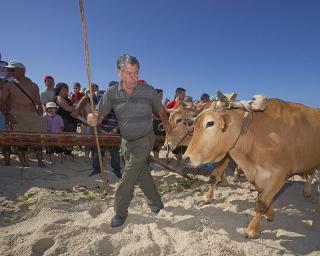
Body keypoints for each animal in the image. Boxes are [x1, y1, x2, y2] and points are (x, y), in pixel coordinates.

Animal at [182, 97, 320, 238]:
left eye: (210, 123)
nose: (185, 158)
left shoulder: (281, 173)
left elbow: (261, 202)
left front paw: (252, 229)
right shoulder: (256, 174)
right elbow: (261, 195)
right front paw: (269, 213)